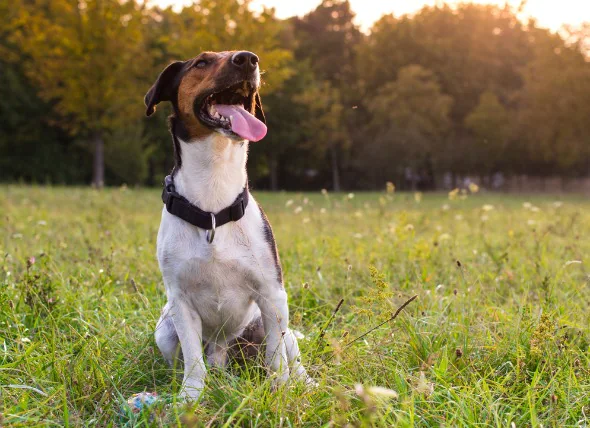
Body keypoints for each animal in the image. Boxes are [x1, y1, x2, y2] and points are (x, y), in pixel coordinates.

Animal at [146, 51, 312, 402]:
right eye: (201, 63)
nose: (248, 59)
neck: (213, 205)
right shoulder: (180, 302)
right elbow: (193, 360)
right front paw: (190, 397)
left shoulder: (272, 295)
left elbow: (277, 360)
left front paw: (280, 390)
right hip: (165, 331)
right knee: (201, 357)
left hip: (276, 326)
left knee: (292, 359)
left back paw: (307, 384)